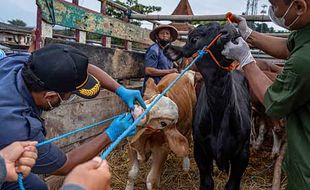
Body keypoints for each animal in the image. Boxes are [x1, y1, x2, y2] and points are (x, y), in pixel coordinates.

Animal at [165, 22, 252, 190]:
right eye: (194, 39)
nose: (229, 30)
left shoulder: (243, 153)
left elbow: (232, 184)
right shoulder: (200, 150)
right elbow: (207, 182)